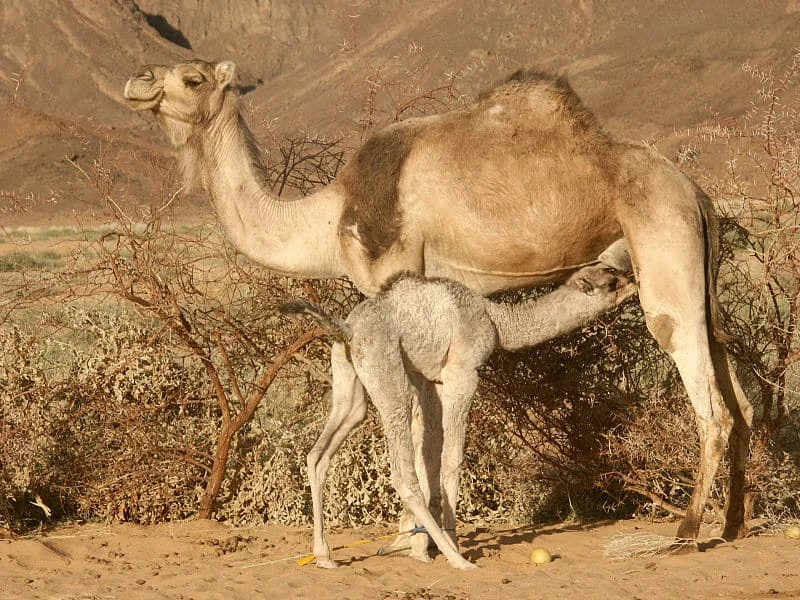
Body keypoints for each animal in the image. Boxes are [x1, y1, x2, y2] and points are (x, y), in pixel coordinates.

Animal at [282, 263, 636, 569]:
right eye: (611, 281)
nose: (634, 280)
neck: (497, 321)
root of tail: (348, 329)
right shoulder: (461, 373)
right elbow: (451, 460)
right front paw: (445, 544)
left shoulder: (429, 380)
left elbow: (430, 459)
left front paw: (419, 549)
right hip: (386, 372)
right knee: (401, 471)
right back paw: (457, 559)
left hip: (349, 376)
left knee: (320, 452)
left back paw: (325, 556)